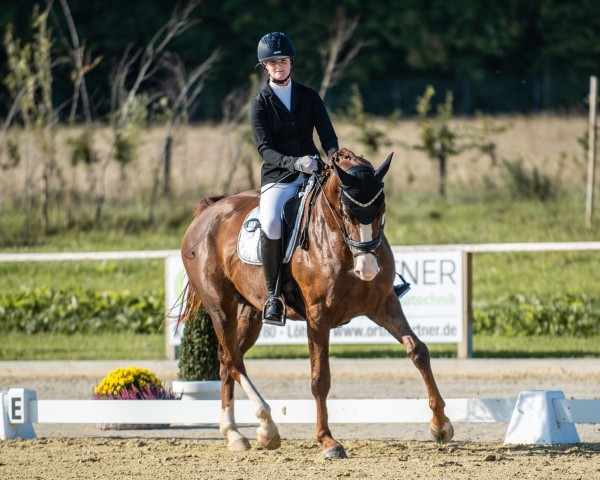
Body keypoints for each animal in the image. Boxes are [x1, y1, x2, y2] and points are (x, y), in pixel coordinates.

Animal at [180, 148, 452, 460]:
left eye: (382, 210)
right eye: (346, 213)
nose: (368, 269)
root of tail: (209, 211)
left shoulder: (384, 304)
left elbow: (418, 351)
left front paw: (440, 425)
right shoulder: (318, 317)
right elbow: (320, 378)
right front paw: (327, 440)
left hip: (250, 313)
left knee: (227, 360)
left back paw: (234, 434)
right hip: (220, 307)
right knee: (235, 362)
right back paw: (267, 427)